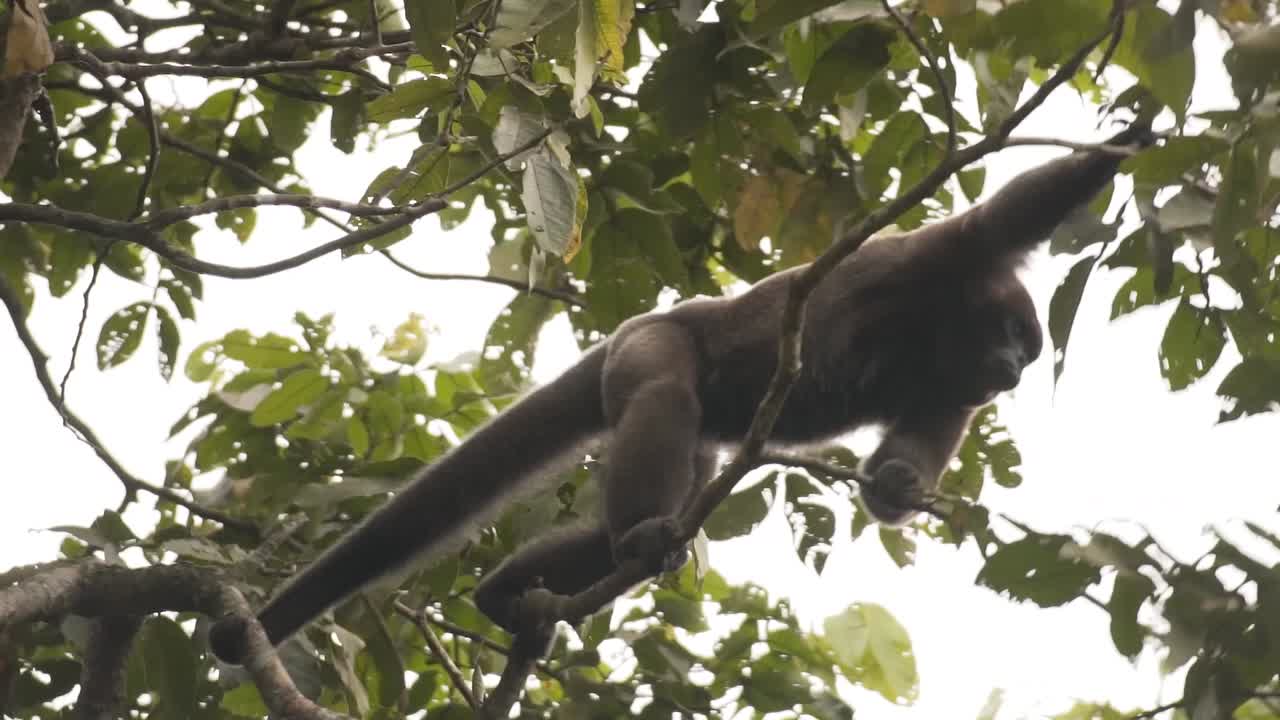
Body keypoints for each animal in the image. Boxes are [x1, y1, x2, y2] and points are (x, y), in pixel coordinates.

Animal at [210, 122, 1153, 664]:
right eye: (1014, 338)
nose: (1017, 369)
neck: (939, 332)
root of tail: (627, 329)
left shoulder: (954, 386)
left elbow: (911, 452)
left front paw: (896, 487)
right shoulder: (939, 257)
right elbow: (1006, 214)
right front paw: (1130, 134)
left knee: (647, 503)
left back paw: (511, 594)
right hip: (650, 344)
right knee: (662, 399)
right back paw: (638, 536)